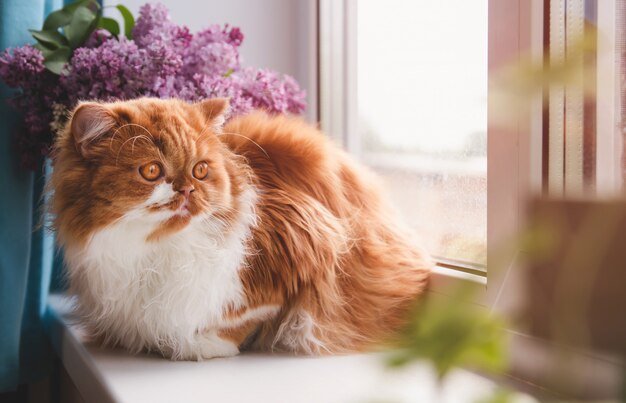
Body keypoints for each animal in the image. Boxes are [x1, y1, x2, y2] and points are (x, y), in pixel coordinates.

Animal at [50, 98, 428, 360]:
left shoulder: (306, 241)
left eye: (200, 170)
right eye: (152, 171)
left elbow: (244, 316)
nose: (187, 190)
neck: (155, 247)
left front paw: (200, 345)